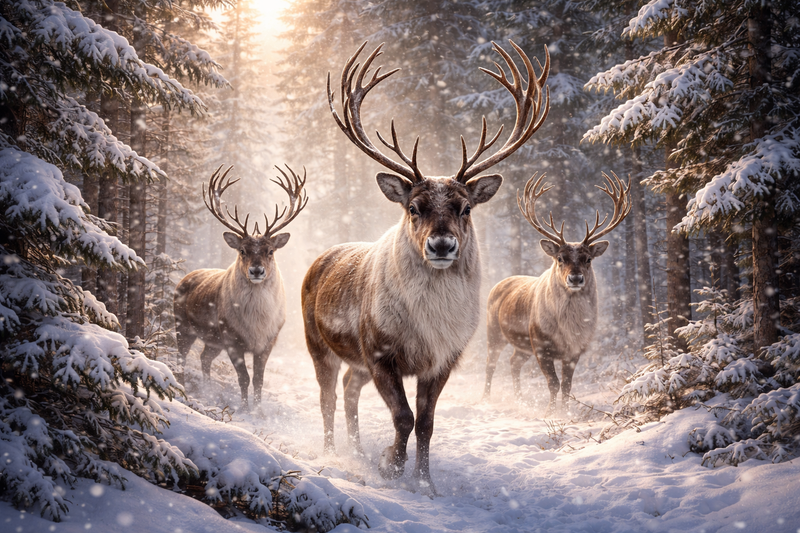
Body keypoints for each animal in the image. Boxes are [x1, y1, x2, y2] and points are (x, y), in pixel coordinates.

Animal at [174, 165, 308, 409]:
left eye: (270, 251)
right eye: (242, 250)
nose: (256, 271)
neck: (256, 324)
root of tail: (184, 277)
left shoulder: (269, 340)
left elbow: (259, 379)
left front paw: (259, 409)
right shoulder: (230, 338)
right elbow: (243, 378)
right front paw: (245, 408)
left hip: (212, 340)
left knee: (204, 358)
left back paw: (208, 390)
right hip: (182, 325)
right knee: (182, 358)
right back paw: (184, 390)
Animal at [302, 40, 549, 495]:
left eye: (466, 207)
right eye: (414, 207)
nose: (441, 244)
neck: (428, 327)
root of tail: (319, 260)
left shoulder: (444, 358)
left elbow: (427, 424)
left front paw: (425, 481)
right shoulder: (379, 350)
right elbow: (403, 417)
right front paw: (390, 467)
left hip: (356, 363)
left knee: (349, 389)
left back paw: (357, 449)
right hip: (318, 342)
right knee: (328, 396)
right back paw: (333, 451)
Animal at [483, 171, 631, 415]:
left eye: (588, 259)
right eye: (560, 258)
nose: (575, 278)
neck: (568, 331)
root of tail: (498, 284)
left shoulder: (575, 350)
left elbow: (567, 385)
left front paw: (566, 412)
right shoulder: (541, 344)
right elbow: (553, 383)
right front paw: (549, 412)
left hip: (522, 345)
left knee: (513, 362)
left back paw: (520, 399)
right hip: (494, 332)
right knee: (491, 365)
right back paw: (485, 398)